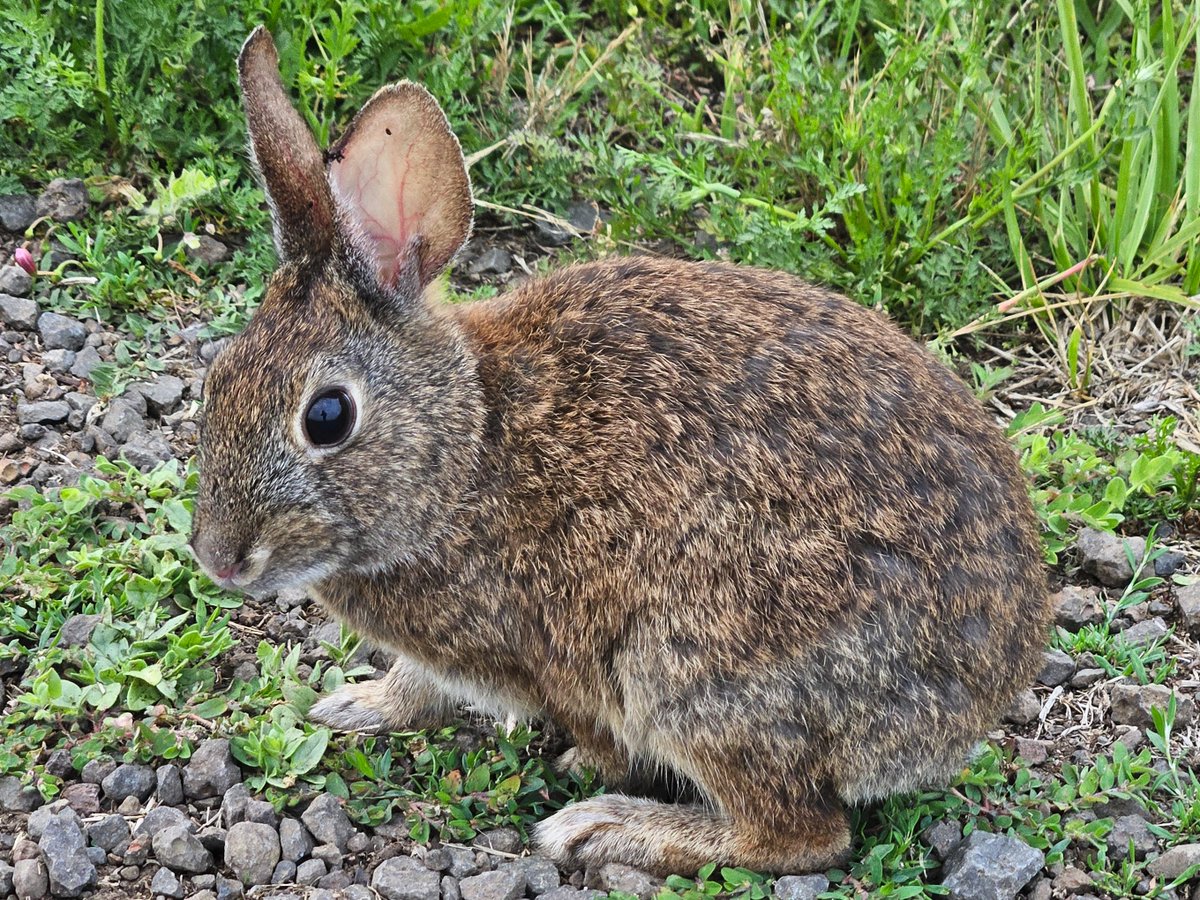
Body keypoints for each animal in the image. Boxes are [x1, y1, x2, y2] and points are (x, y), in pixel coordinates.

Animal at [190, 26, 1051, 877]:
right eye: (218, 377)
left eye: (328, 416)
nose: (218, 559)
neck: (466, 450)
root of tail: (975, 697)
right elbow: (417, 683)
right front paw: (356, 705)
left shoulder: (555, 662)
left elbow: (590, 733)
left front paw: (582, 771)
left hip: (691, 668)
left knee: (799, 835)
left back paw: (607, 829)